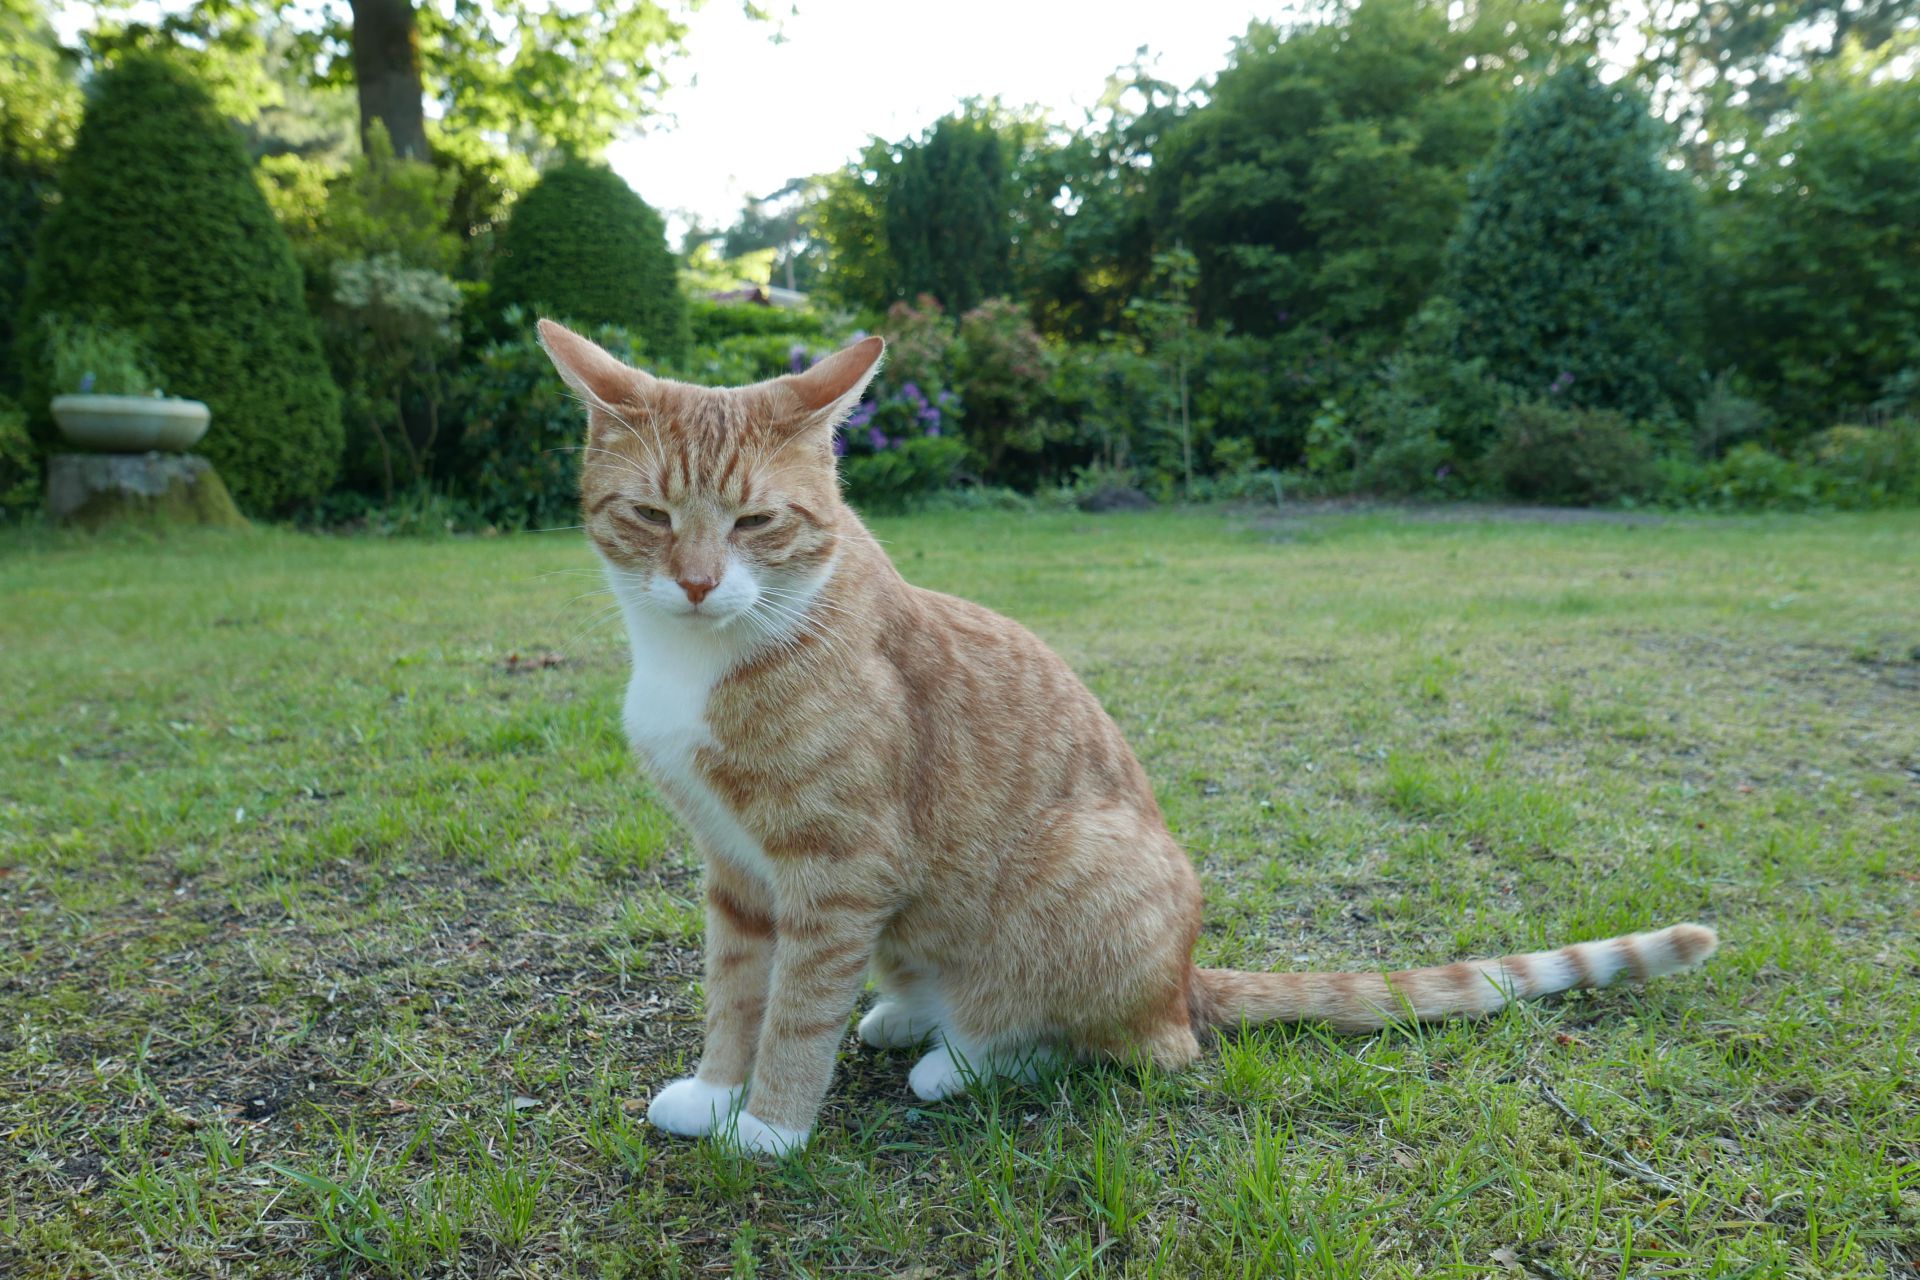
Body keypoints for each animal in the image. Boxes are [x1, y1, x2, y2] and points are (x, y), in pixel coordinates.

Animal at [541, 322, 1728, 1159]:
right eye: (651, 516)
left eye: (754, 523)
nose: (699, 582)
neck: (704, 655)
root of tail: (1185, 973)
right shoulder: (737, 871)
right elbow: (740, 991)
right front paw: (716, 1087)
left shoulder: (837, 871)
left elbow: (792, 1013)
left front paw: (773, 1125)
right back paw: (902, 1016)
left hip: (1087, 870)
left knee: (1123, 1044)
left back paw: (960, 1059)